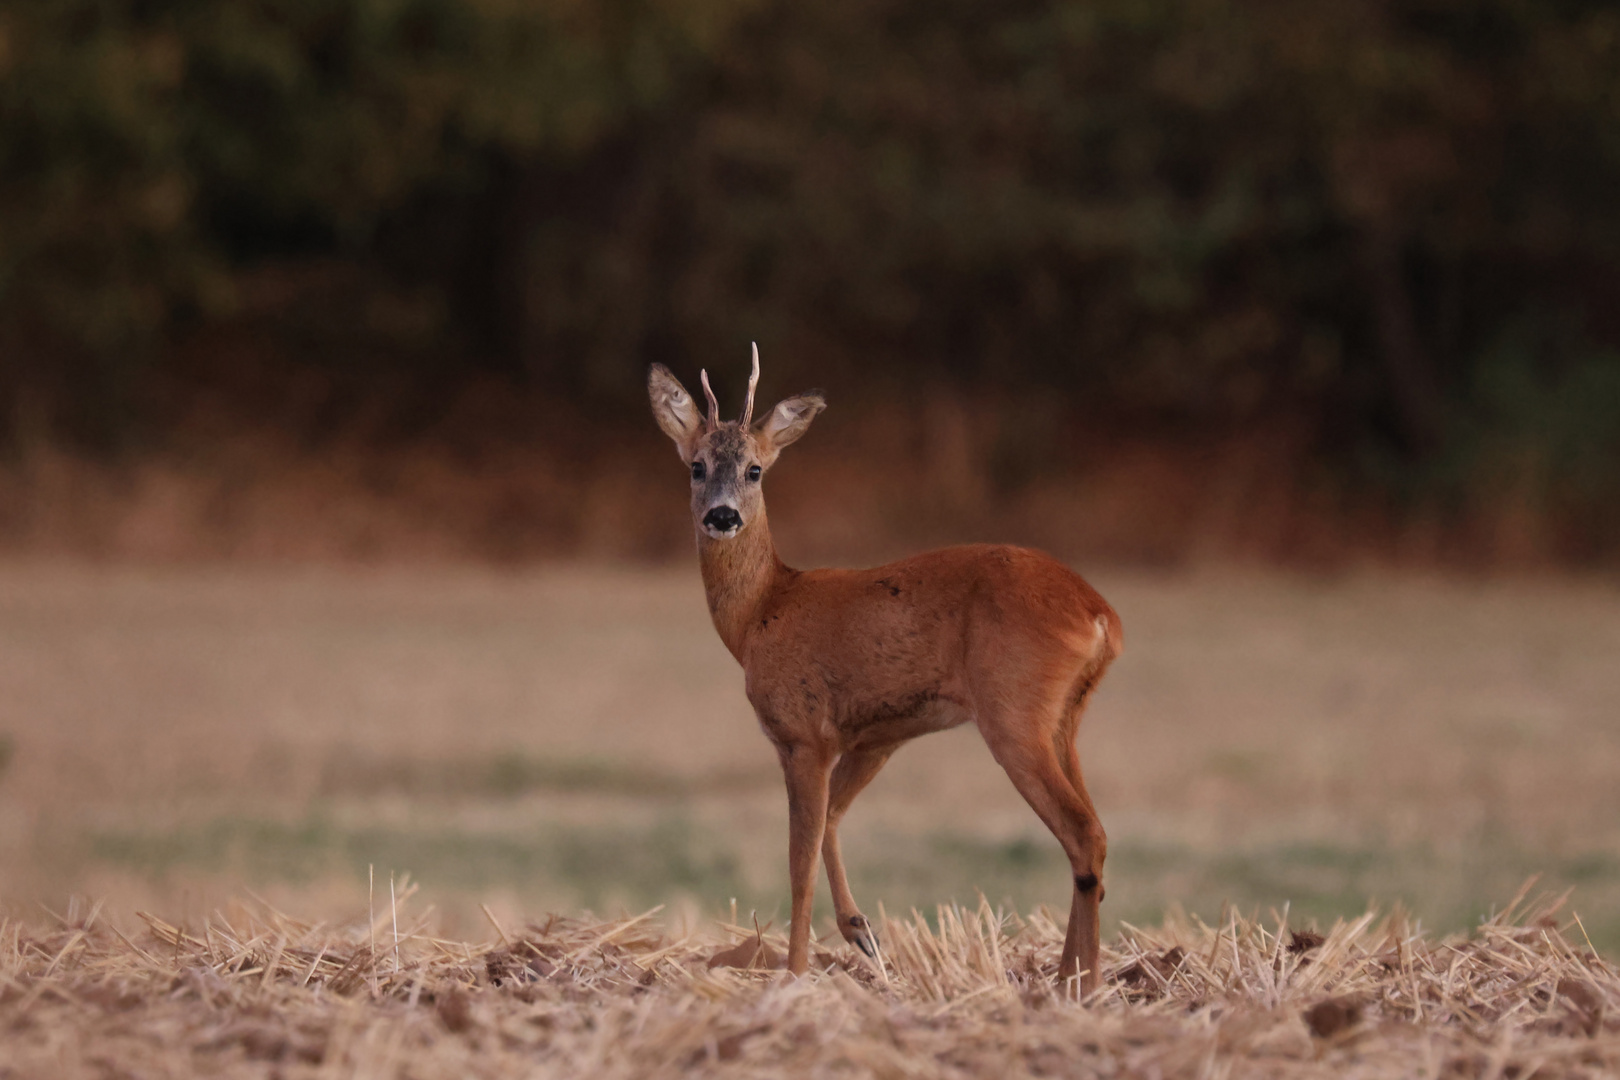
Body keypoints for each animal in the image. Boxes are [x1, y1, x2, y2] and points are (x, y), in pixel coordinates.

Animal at [641, 348, 1114, 997]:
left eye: (756, 470)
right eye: (696, 466)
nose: (722, 515)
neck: (761, 613)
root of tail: (1100, 615)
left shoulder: (802, 732)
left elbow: (799, 861)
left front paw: (795, 973)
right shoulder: (875, 736)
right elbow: (832, 822)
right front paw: (861, 932)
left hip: (1015, 710)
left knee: (1083, 833)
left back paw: (1081, 984)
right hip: (1066, 717)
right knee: (1091, 833)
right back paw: (1069, 976)